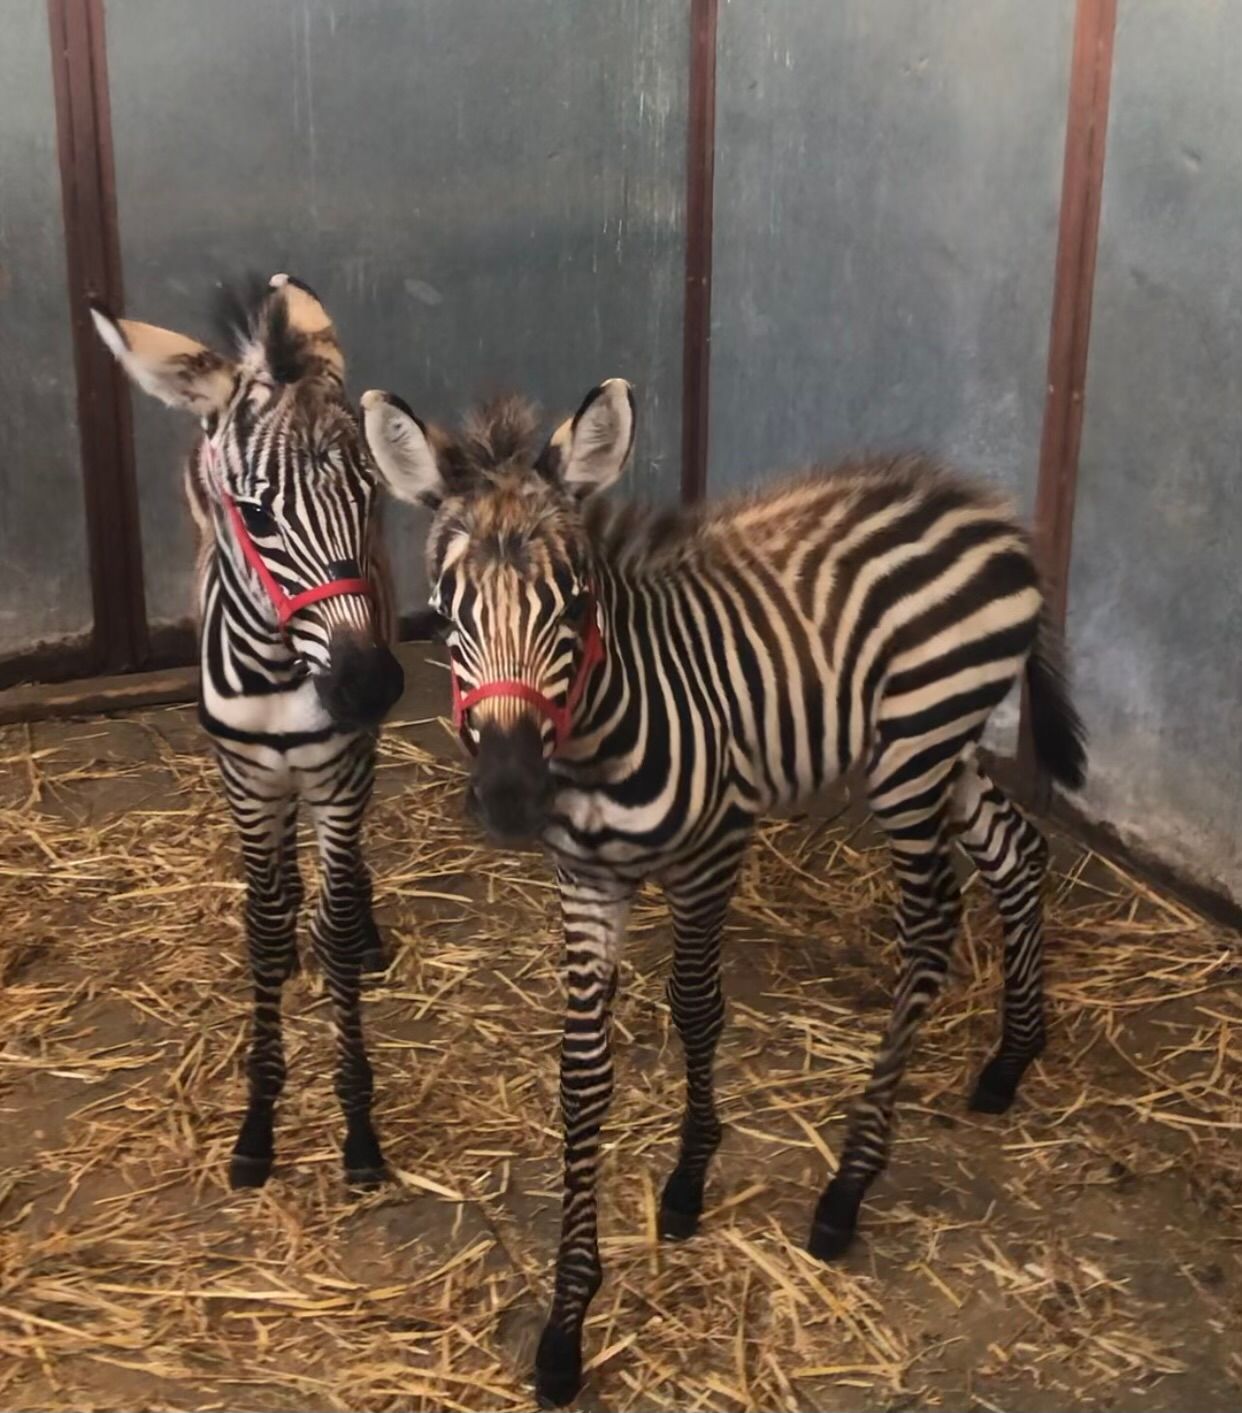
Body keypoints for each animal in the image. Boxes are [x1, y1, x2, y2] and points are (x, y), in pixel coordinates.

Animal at [92, 275, 404, 1192]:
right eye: (257, 515)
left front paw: (358, 1129)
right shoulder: (246, 779)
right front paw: (259, 1124)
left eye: (371, 495)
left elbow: (334, 931)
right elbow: (263, 933)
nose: (368, 685)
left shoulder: (338, 771)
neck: (279, 669)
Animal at [361, 379, 1087, 1405]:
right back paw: (1011, 1058)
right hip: (944, 749)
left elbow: (698, 1009)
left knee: (933, 925)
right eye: (446, 608)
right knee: (1017, 853)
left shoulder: (714, 852)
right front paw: (567, 1321)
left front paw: (687, 1183)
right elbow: (582, 1077)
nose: (506, 794)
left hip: (911, 755)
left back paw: (848, 1188)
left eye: (574, 603)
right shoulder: (586, 881)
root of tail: (987, 513)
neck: (599, 728)